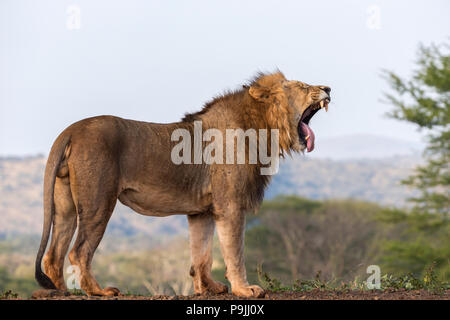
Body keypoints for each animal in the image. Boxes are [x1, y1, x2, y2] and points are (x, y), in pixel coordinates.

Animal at [35, 72, 330, 298]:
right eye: (303, 86)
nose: (328, 88)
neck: (262, 129)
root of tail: (71, 130)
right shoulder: (230, 205)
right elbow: (235, 252)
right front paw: (244, 290)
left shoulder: (201, 211)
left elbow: (202, 254)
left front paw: (208, 288)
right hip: (99, 201)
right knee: (78, 251)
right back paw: (98, 291)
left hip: (65, 204)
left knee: (54, 254)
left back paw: (63, 292)